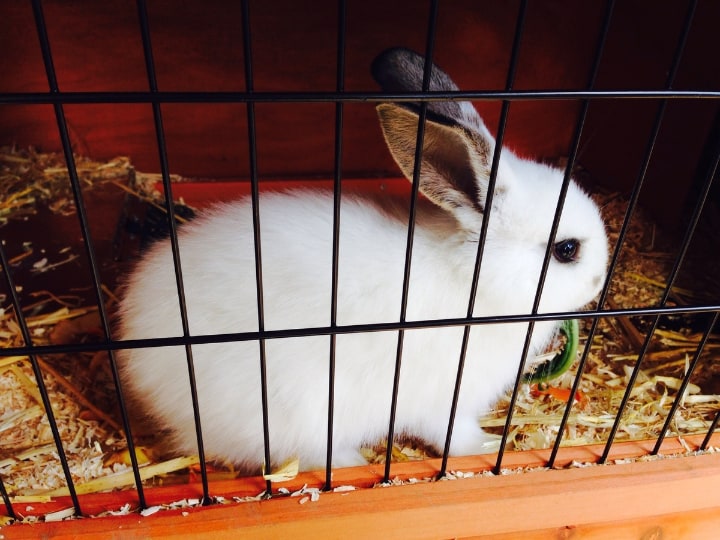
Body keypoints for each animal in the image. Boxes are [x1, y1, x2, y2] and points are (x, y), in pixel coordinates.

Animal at [118, 47, 608, 472]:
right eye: (567, 250)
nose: (600, 279)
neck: (476, 282)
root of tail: (138, 358)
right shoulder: (443, 397)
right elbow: (451, 433)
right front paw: (487, 446)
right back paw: (353, 463)